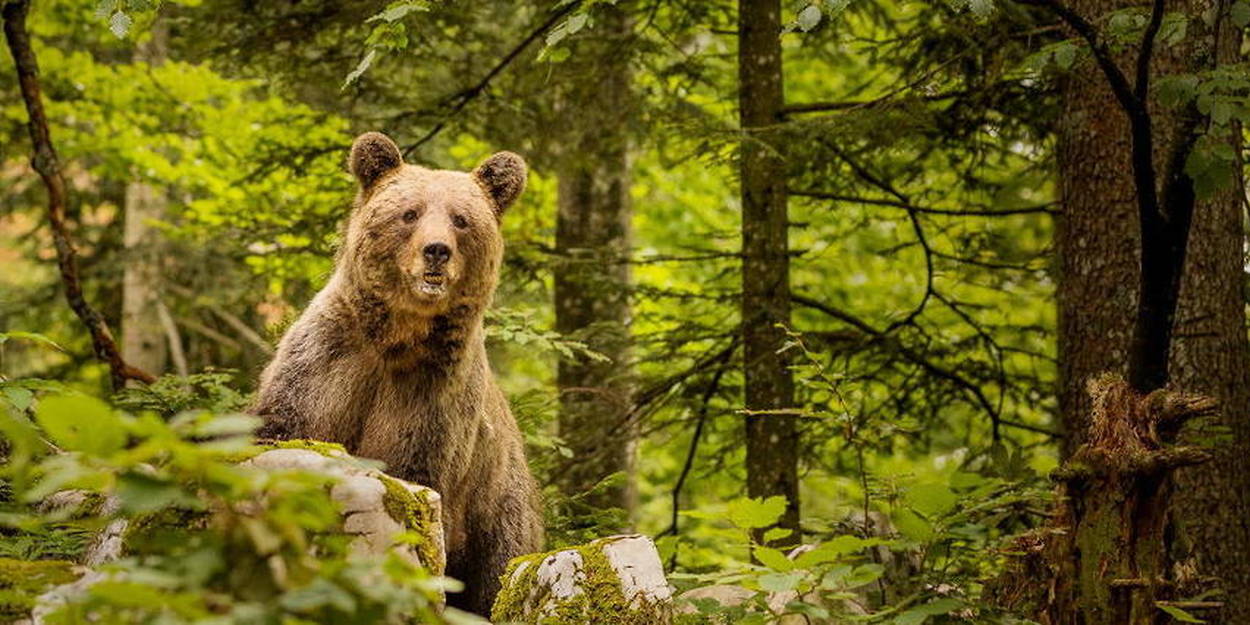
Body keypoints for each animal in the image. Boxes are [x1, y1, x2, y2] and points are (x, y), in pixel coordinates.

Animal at [252, 131, 542, 615]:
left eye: (461, 219)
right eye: (410, 213)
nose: (436, 251)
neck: (397, 336)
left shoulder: (432, 393)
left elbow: (412, 466)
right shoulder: (328, 360)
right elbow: (287, 424)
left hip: (500, 508)